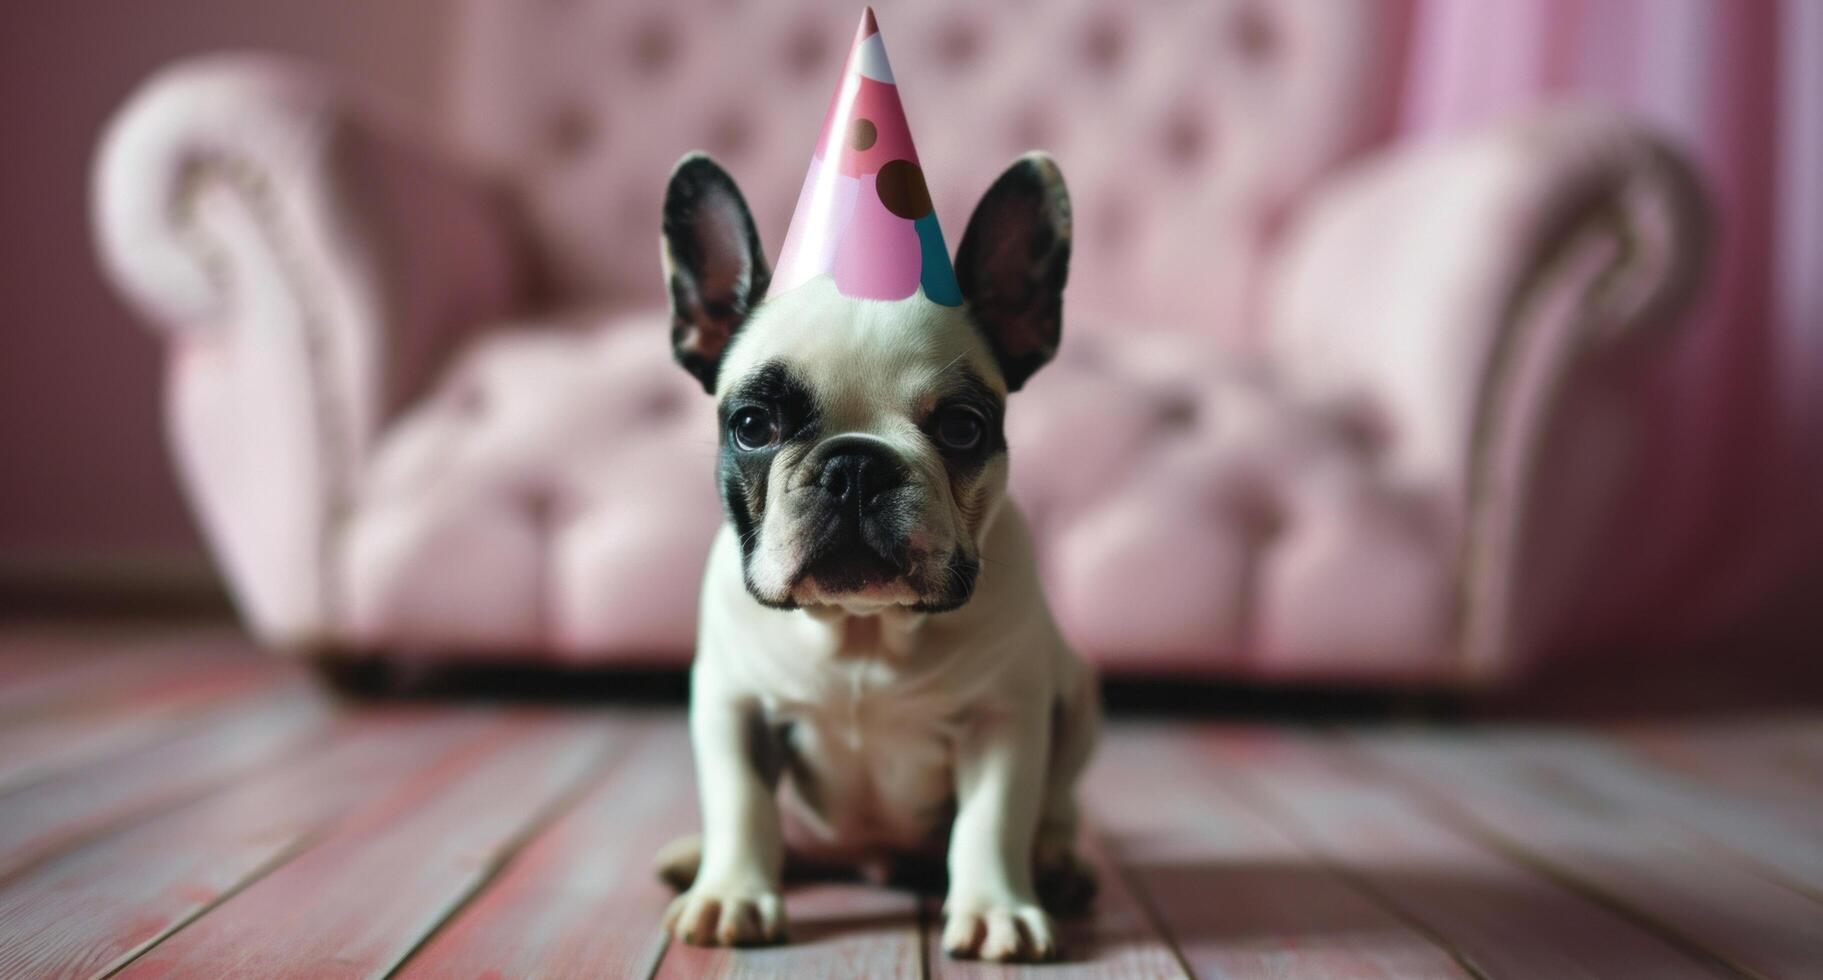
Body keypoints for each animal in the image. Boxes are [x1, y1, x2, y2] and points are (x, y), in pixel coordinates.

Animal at [663, 148, 1101, 954]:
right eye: (752, 425)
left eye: (962, 427)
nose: (856, 465)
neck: (862, 632)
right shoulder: (732, 705)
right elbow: (741, 803)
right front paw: (731, 892)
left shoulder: (1004, 717)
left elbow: (994, 821)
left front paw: (993, 907)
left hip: (1081, 695)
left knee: (1057, 809)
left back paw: (1057, 864)